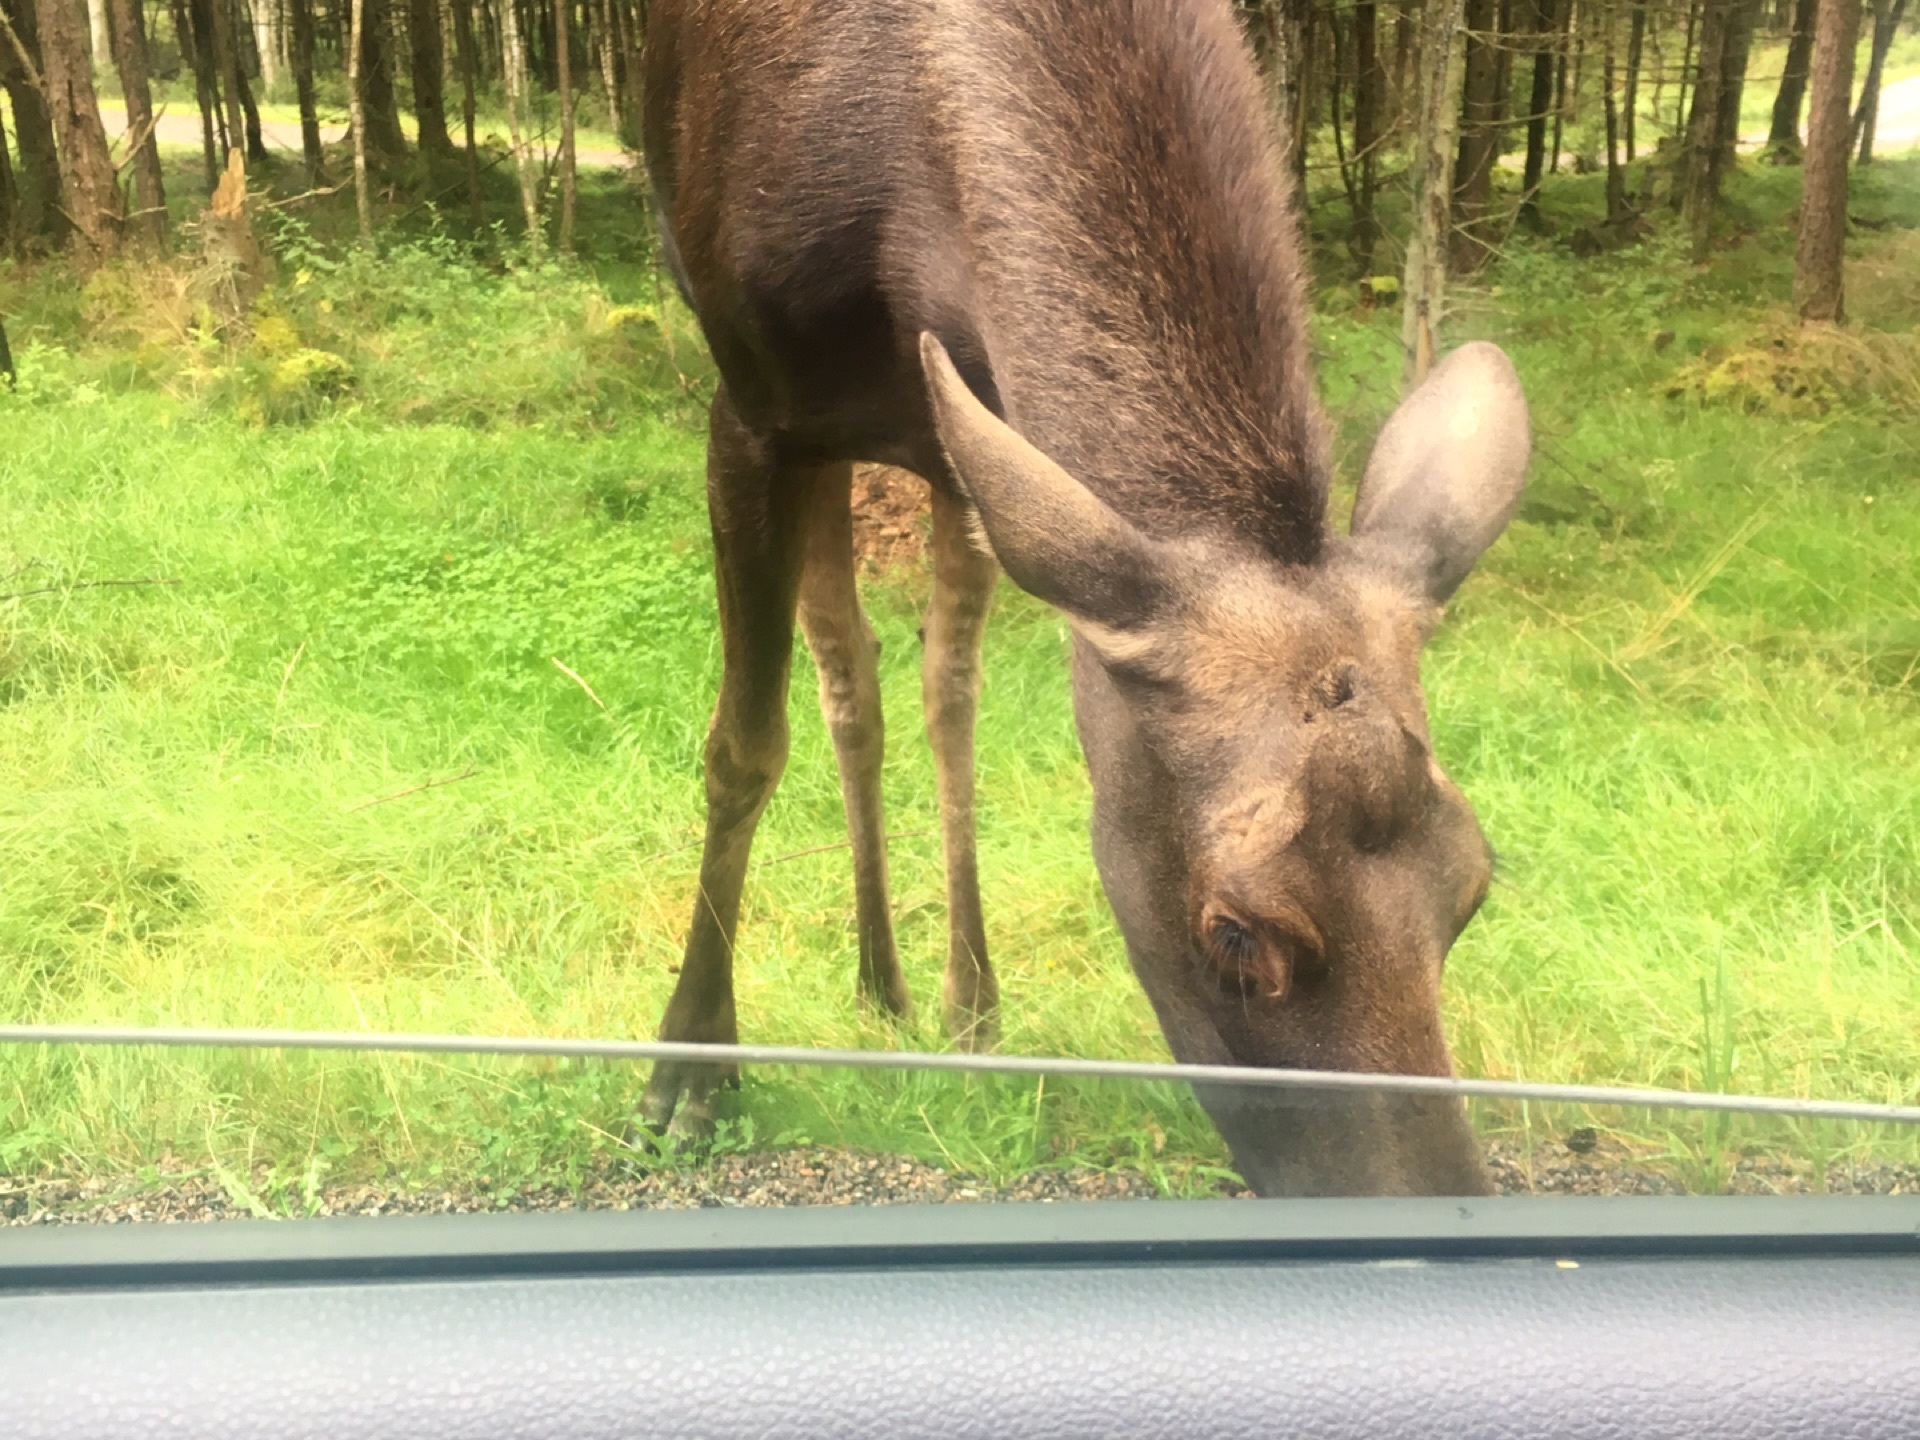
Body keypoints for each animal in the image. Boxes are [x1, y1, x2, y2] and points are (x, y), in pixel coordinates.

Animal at [637, 0, 1536, 1198]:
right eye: (1235, 933)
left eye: (1472, 887)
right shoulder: (752, 405)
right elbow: (743, 746)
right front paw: (688, 1067)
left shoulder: (968, 434)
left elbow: (946, 697)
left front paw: (965, 1003)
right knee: (844, 671)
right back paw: (875, 980)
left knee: (930, 686)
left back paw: (938, 991)